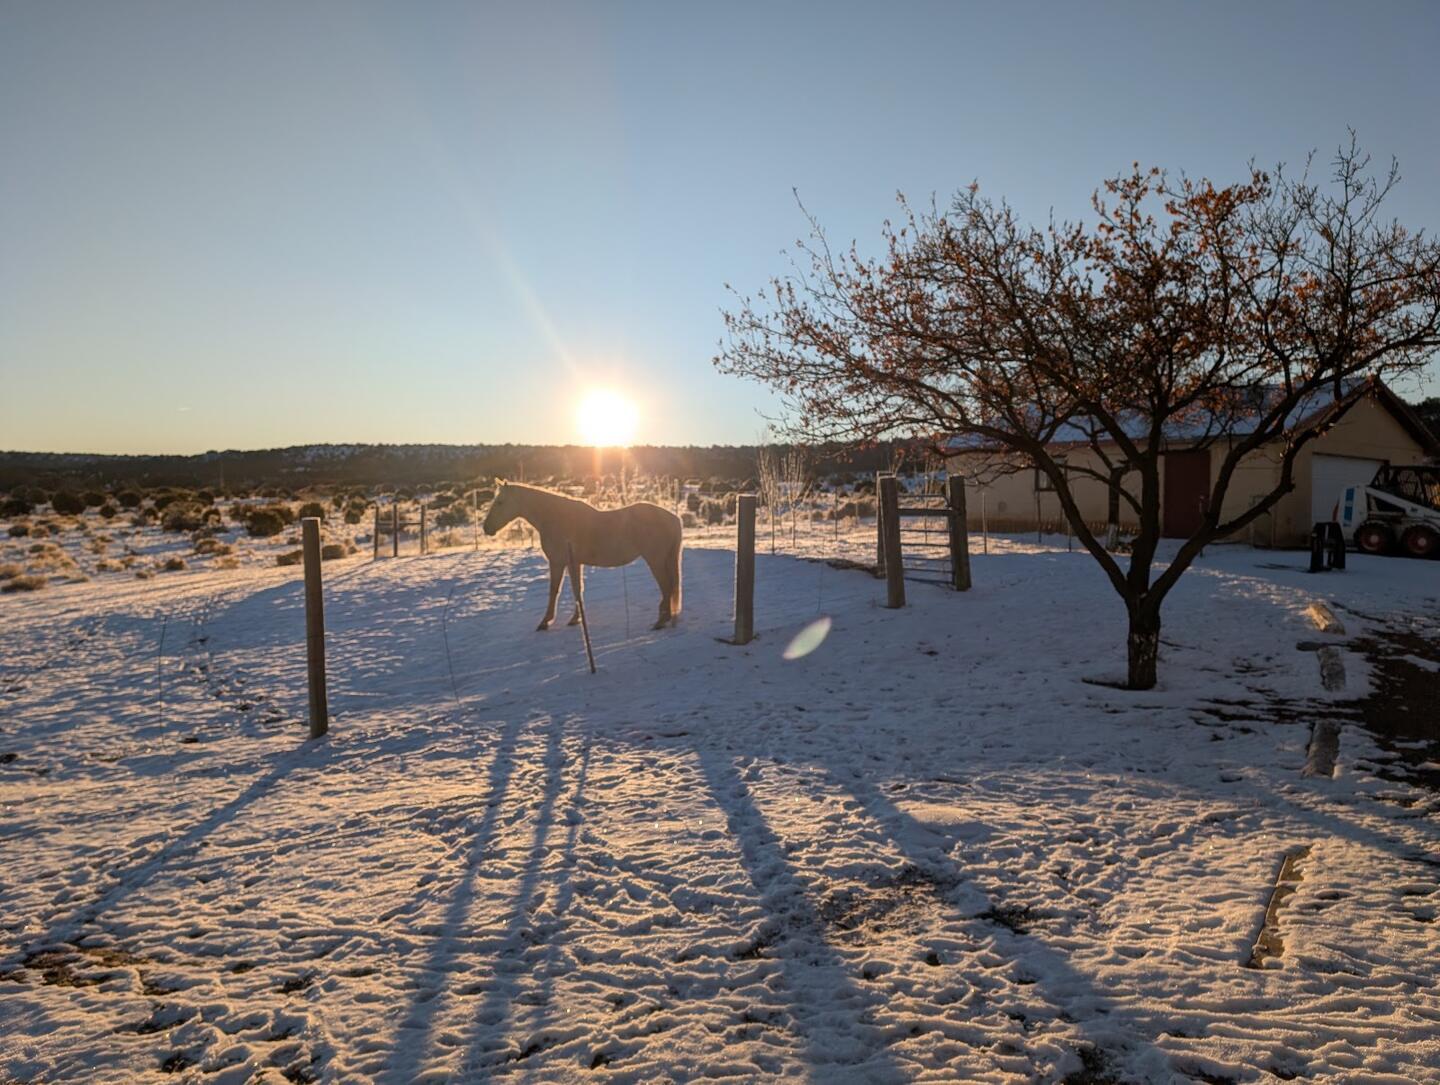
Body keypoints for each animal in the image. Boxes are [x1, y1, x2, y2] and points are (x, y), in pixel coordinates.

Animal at [482, 480, 683, 631]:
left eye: (500, 502)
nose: (486, 528)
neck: (556, 518)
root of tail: (673, 518)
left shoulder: (558, 563)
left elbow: (554, 591)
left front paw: (545, 621)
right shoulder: (574, 563)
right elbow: (577, 589)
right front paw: (575, 619)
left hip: (655, 560)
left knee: (667, 587)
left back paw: (660, 622)